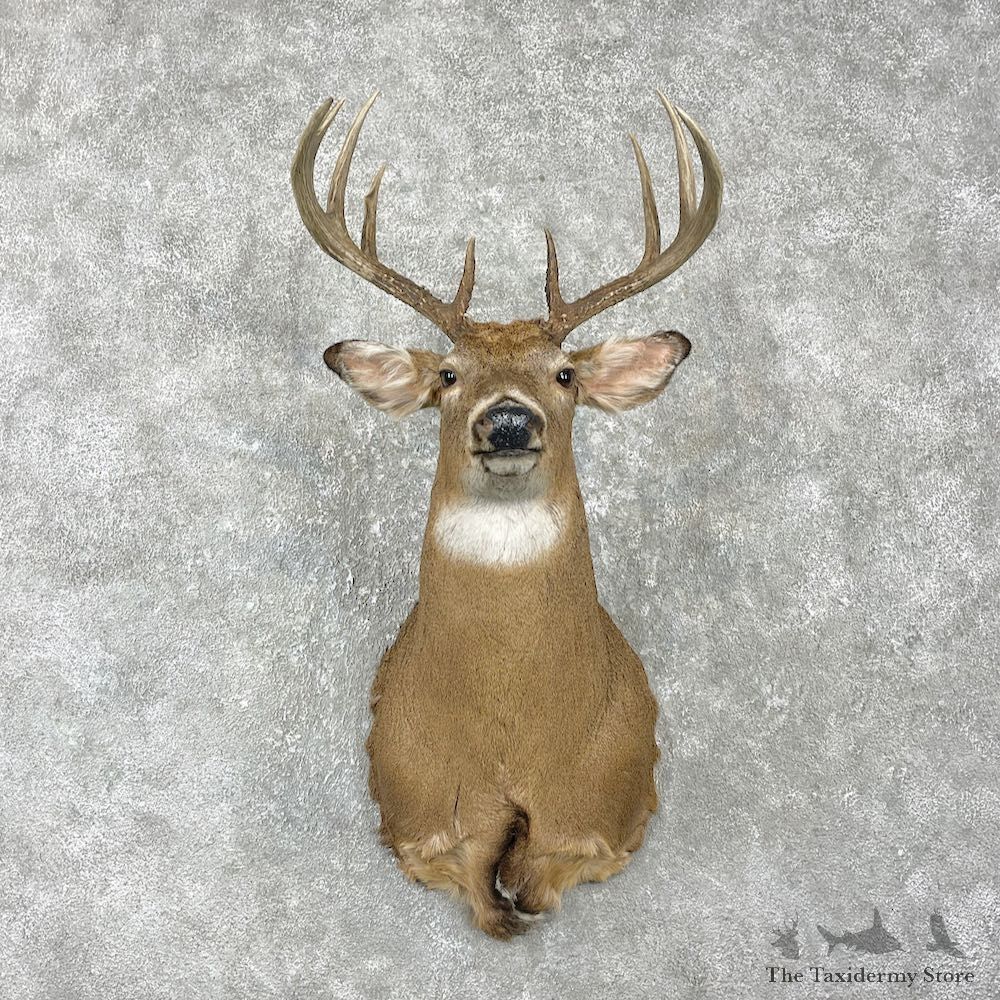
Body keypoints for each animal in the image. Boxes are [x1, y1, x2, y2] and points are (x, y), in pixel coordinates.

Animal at [291, 90, 722, 938]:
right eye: (449, 375)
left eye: (564, 374)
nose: (511, 422)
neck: (510, 732)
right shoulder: (417, 810)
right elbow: (480, 885)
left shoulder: (605, 808)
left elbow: (540, 877)